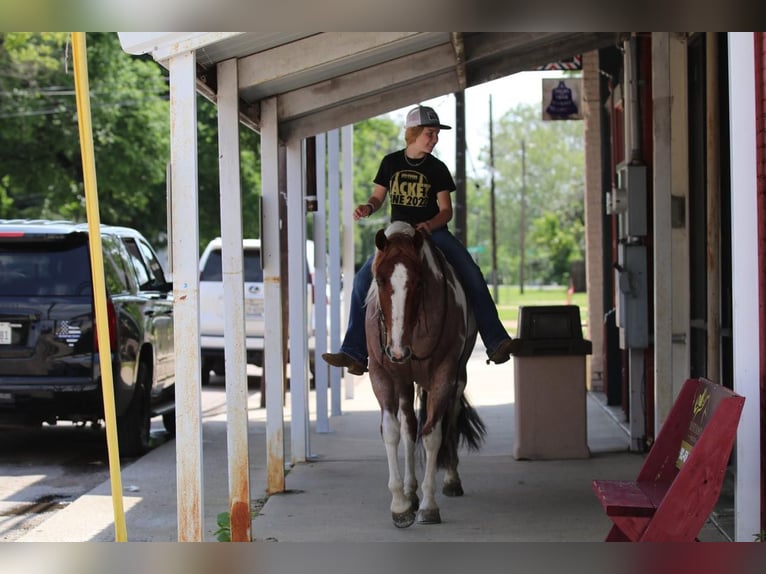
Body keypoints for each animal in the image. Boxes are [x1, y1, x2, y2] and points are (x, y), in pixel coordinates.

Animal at [366, 222, 486, 532]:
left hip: (457, 376)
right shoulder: (382, 374)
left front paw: (429, 506)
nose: (397, 350)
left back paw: (451, 479)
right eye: (379, 280)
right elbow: (393, 431)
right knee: (409, 425)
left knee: (450, 418)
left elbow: (433, 434)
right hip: (405, 383)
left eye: (419, 283)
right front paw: (400, 505)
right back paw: (410, 491)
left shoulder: (444, 374)